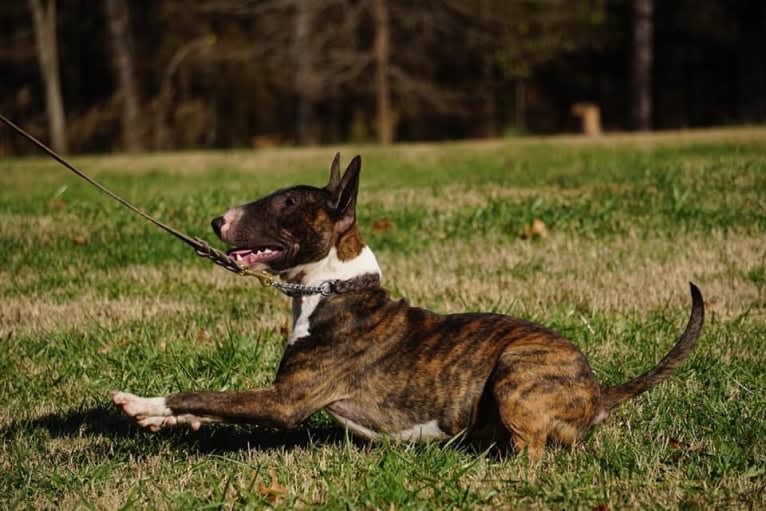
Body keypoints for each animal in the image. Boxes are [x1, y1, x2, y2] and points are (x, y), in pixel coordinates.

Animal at [111, 154, 704, 462]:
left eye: (287, 202)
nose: (217, 221)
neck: (331, 288)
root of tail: (598, 390)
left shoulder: (287, 401)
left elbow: (207, 395)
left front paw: (144, 402)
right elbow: (212, 404)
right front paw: (156, 418)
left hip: (515, 371)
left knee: (533, 453)